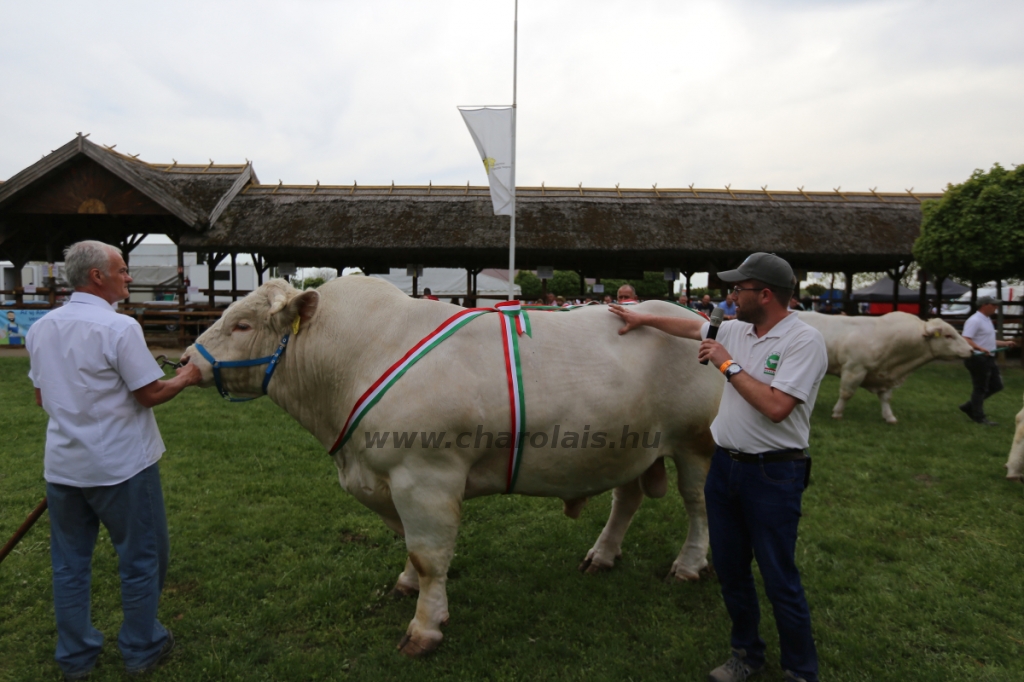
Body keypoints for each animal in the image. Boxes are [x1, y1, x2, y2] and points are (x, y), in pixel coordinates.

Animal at [180, 276, 724, 655]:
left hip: (696, 442)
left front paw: (424, 628)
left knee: (698, 505)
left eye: (243, 325)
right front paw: (405, 586)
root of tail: (690, 317)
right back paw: (602, 555)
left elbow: (428, 555)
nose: (185, 360)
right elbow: (409, 546)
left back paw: (688, 565)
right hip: (631, 446)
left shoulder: (425, 476)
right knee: (626, 498)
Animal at [794, 311, 970, 421]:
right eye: (948, 335)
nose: (970, 349)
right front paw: (837, 413)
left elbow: (886, 398)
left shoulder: (885, 376)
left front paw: (889, 417)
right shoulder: (854, 369)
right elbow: (846, 393)